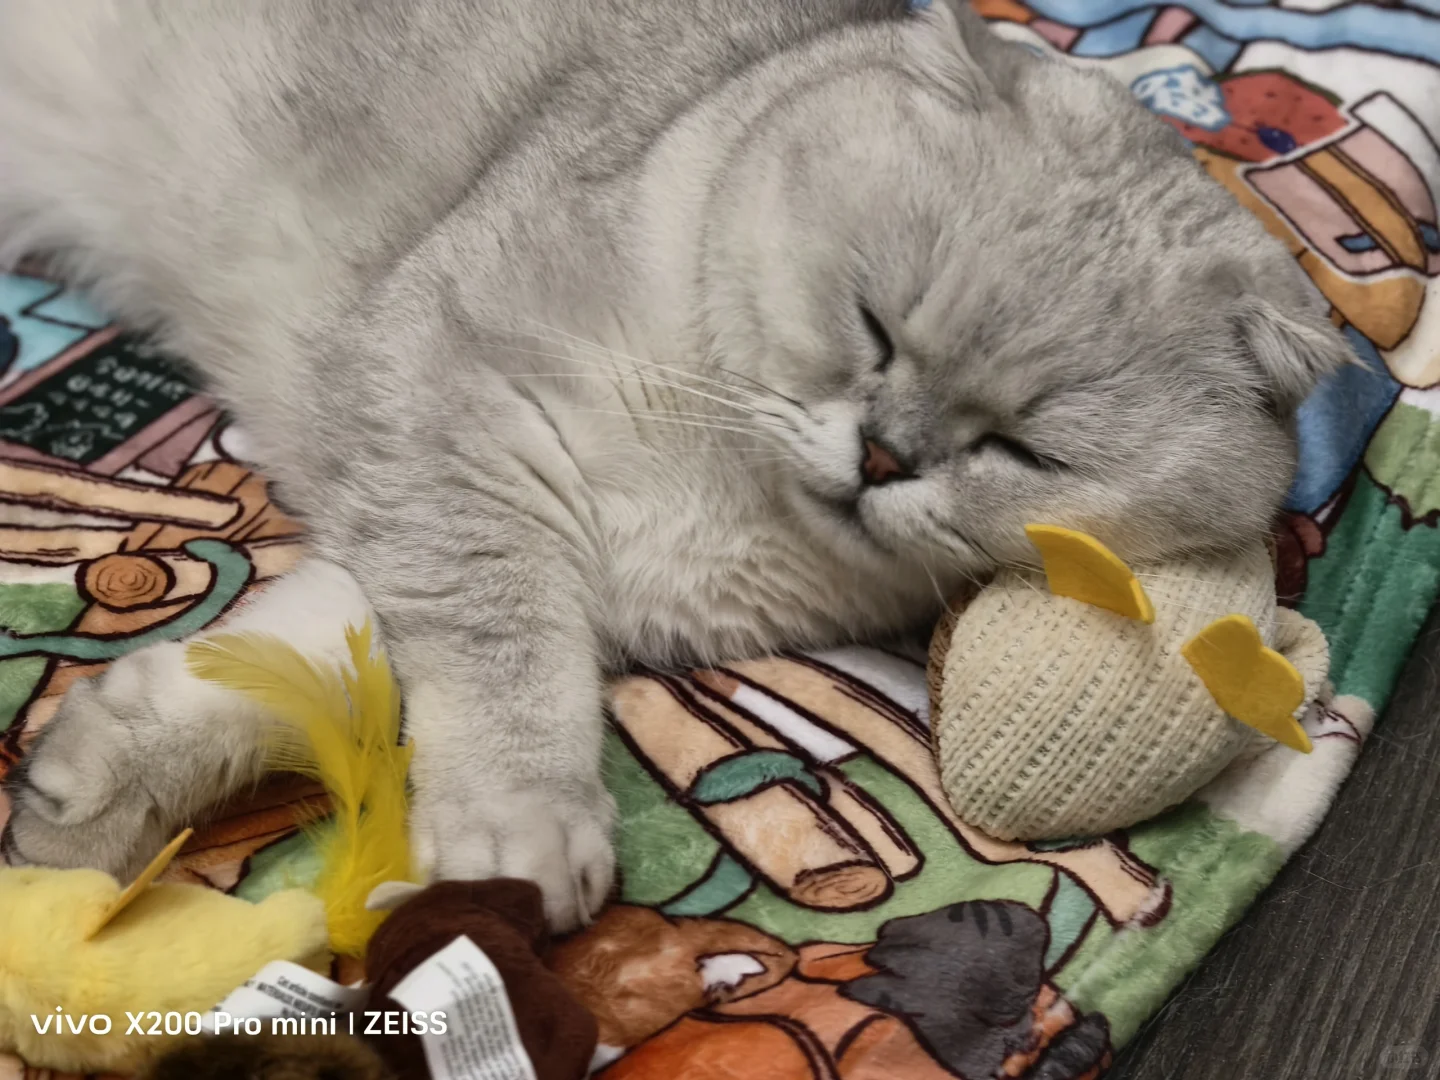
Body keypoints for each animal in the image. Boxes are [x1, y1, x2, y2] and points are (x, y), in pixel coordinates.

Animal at [0, 0, 1347, 933]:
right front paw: (519, 835)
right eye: (873, 326)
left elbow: (289, 666)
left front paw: (80, 806)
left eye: (1022, 448)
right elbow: (501, 669)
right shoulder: (454, 423)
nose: (883, 454)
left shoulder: (529, 555)